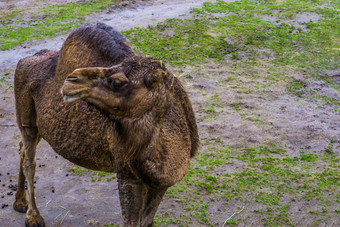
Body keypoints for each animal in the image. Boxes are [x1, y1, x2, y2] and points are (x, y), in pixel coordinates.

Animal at [13, 23, 199, 227]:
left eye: (116, 81)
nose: (71, 79)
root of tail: (23, 60)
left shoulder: (161, 183)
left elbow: (147, 220)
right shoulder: (128, 174)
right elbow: (132, 222)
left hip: (38, 126)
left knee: (22, 149)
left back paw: (20, 203)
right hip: (26, 119)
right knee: (29, 161)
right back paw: (33, 217)